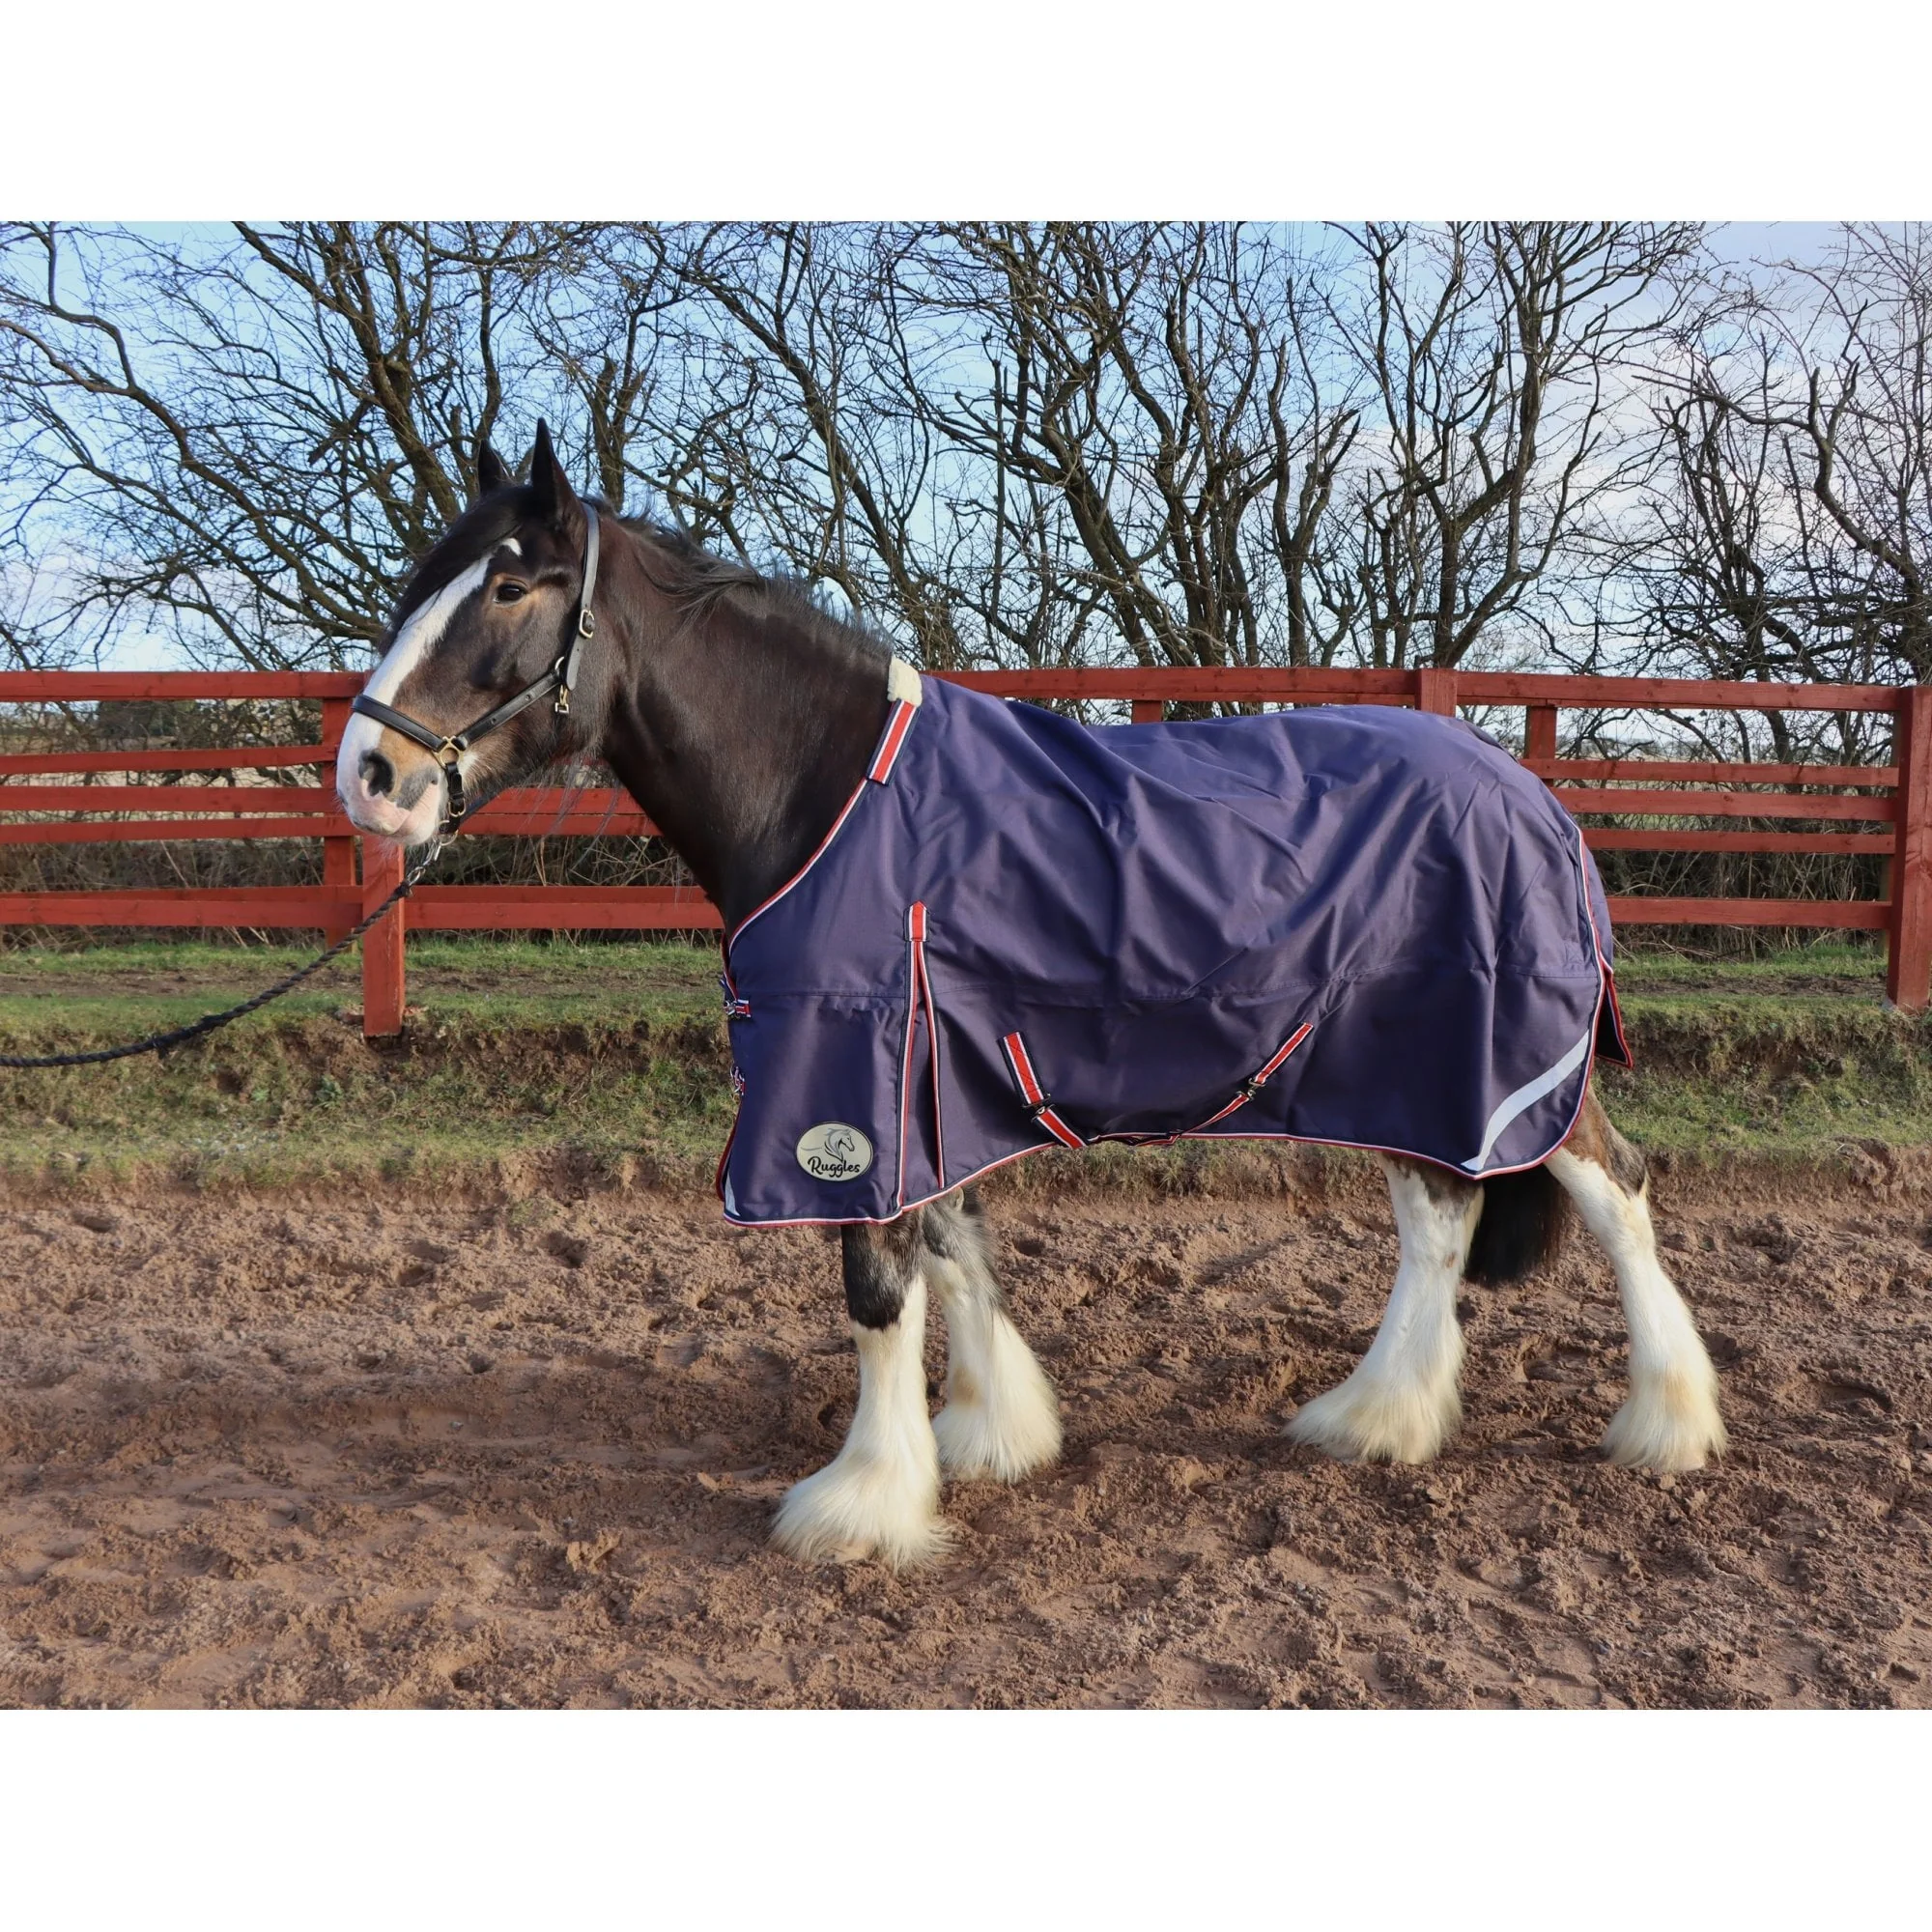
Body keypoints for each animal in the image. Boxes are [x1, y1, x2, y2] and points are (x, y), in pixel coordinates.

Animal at [335, 423, 1726, 1567]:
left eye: (509, 585)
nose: (368, 774)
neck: (833, 795)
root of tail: (1533, 794)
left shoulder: (853, 1079)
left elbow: (880, 1285)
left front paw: (862, 1503)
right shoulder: (932, 1079)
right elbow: (957, 1252)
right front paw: (988, 1434)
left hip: (1498, 1058)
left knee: (1615, 1190)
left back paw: (1665, 1423)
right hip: (1400, 1061)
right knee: (1438, 1218)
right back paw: (1376, 1419)